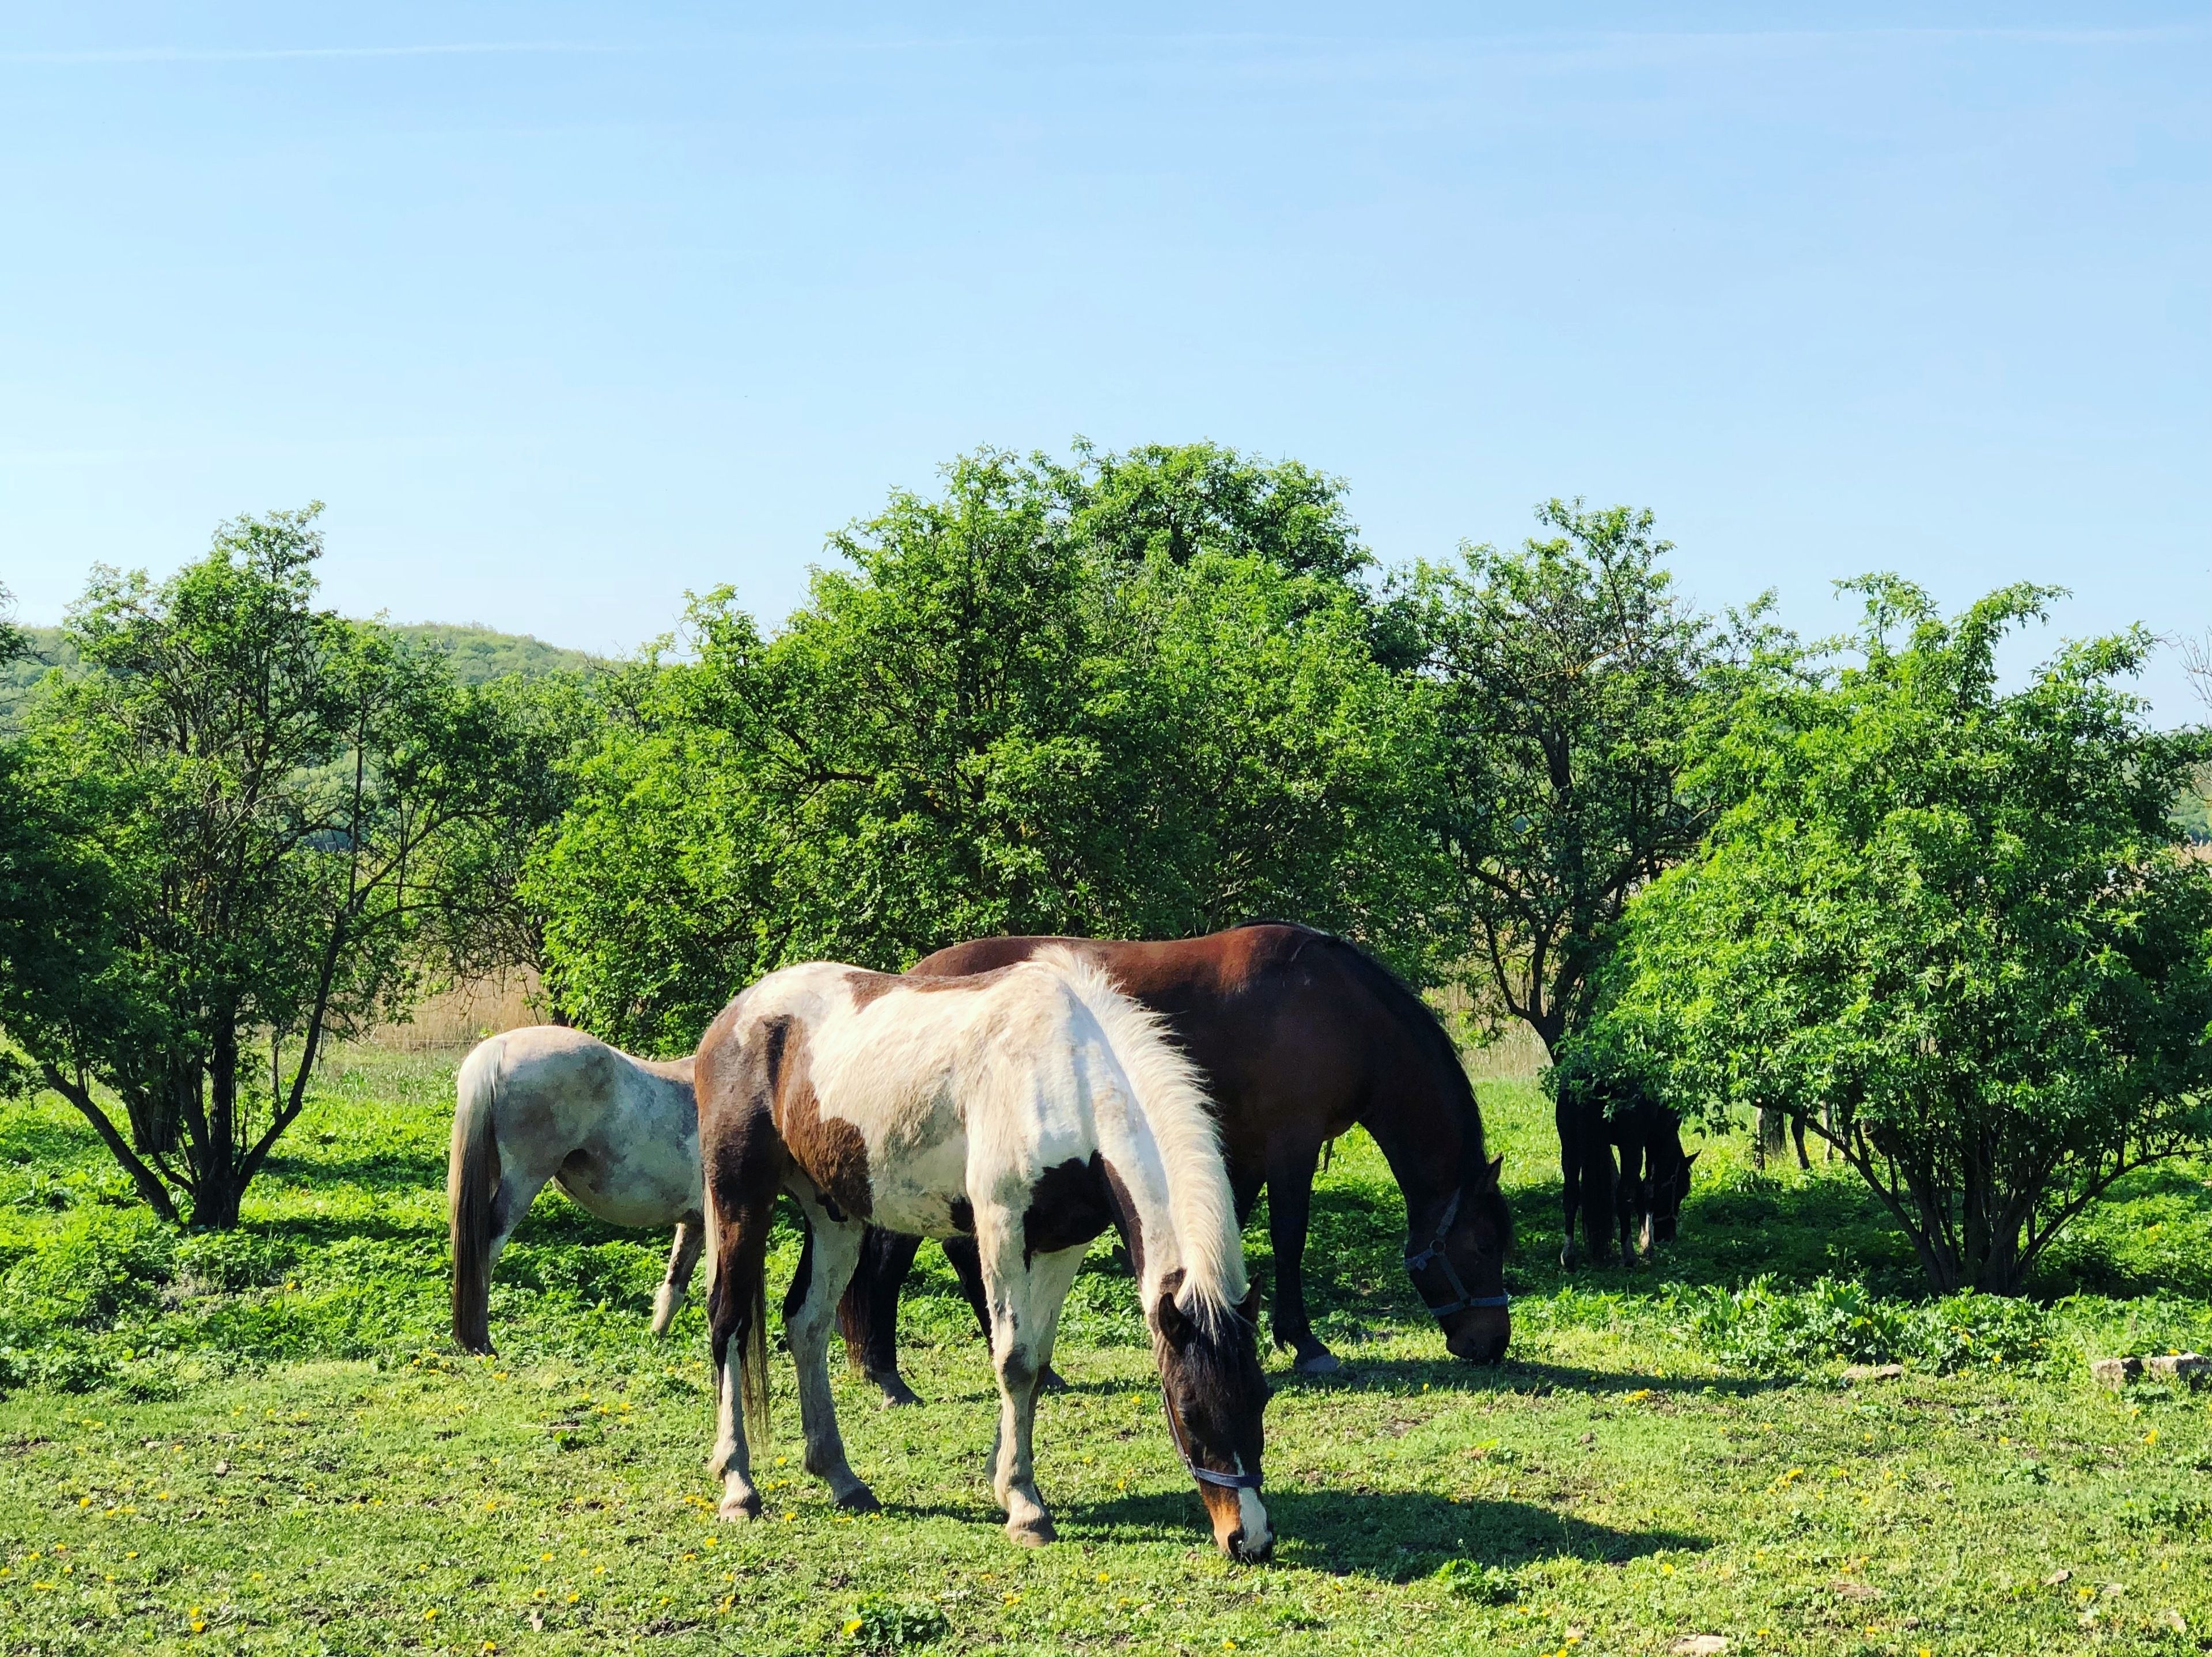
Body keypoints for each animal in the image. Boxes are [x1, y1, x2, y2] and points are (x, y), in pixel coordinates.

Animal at [448, 1026, 703, 1355]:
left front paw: (655, 1338)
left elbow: (675, 1283)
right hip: (522, 1184)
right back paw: (482, 1343)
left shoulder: (695, 1223)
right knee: (488, 1248)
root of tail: (499, 1048)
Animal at [694, 950, 1273, 1559]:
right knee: (729, 1324)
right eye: (1188, 1408)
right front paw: (1025, 1509)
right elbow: (1014, 1360)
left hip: (834, 1213)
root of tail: (735, 1016)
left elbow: (1037, 1360)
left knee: (807, 1324)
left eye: (1261, 1396)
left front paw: (1007, 1482)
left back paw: (842, 1479)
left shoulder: (1063, 1245)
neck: (1070, 1076)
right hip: (739, 1200)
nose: (1250, 1539)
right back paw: (738, 1485)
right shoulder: (1000, 1228)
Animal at [837, 922, 1512, 1400]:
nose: (1491, 1343)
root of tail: (908, 981)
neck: (1335, 1007)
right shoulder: (1290, 1148)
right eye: (1483, 1245)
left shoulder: (1242, 1151)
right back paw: (888, 1376)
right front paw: (1305, 1342)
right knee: (898, 1255)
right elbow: (1289, 1238)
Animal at [1555, 1071, 1695, 1268]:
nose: (1668, 1238)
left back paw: (1568, 1257)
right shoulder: (1650, 1142)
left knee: (1571, 1194)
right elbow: (1648, 1189)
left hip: (1570, 1145)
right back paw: (1629, 1256)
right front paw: (1647, 1243)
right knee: (1623, 1194)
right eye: (1683, 1190)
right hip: (1630, 1146)